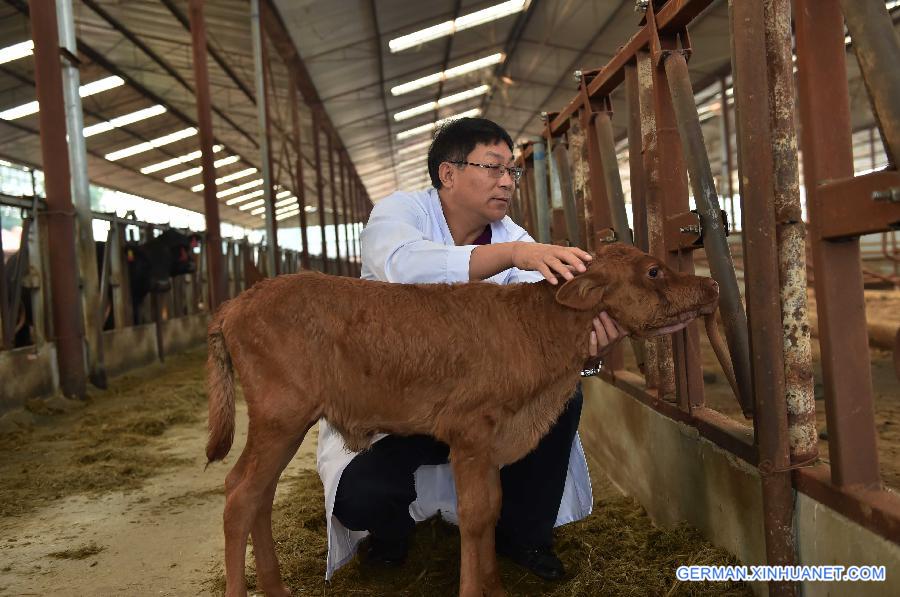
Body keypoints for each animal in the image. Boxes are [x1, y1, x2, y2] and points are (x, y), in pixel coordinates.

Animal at [206, 242, 724, 596]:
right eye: (653, 270)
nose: (712, 285)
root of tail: (235, 305)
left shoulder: (493, 439)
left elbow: (492, 508)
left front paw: (495, 585)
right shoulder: (471, 431)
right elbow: (475, 515)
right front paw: (475, 589)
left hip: (282, 423)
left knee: (260, 495)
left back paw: (276, 587)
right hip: (281, 414)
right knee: (239, 492)